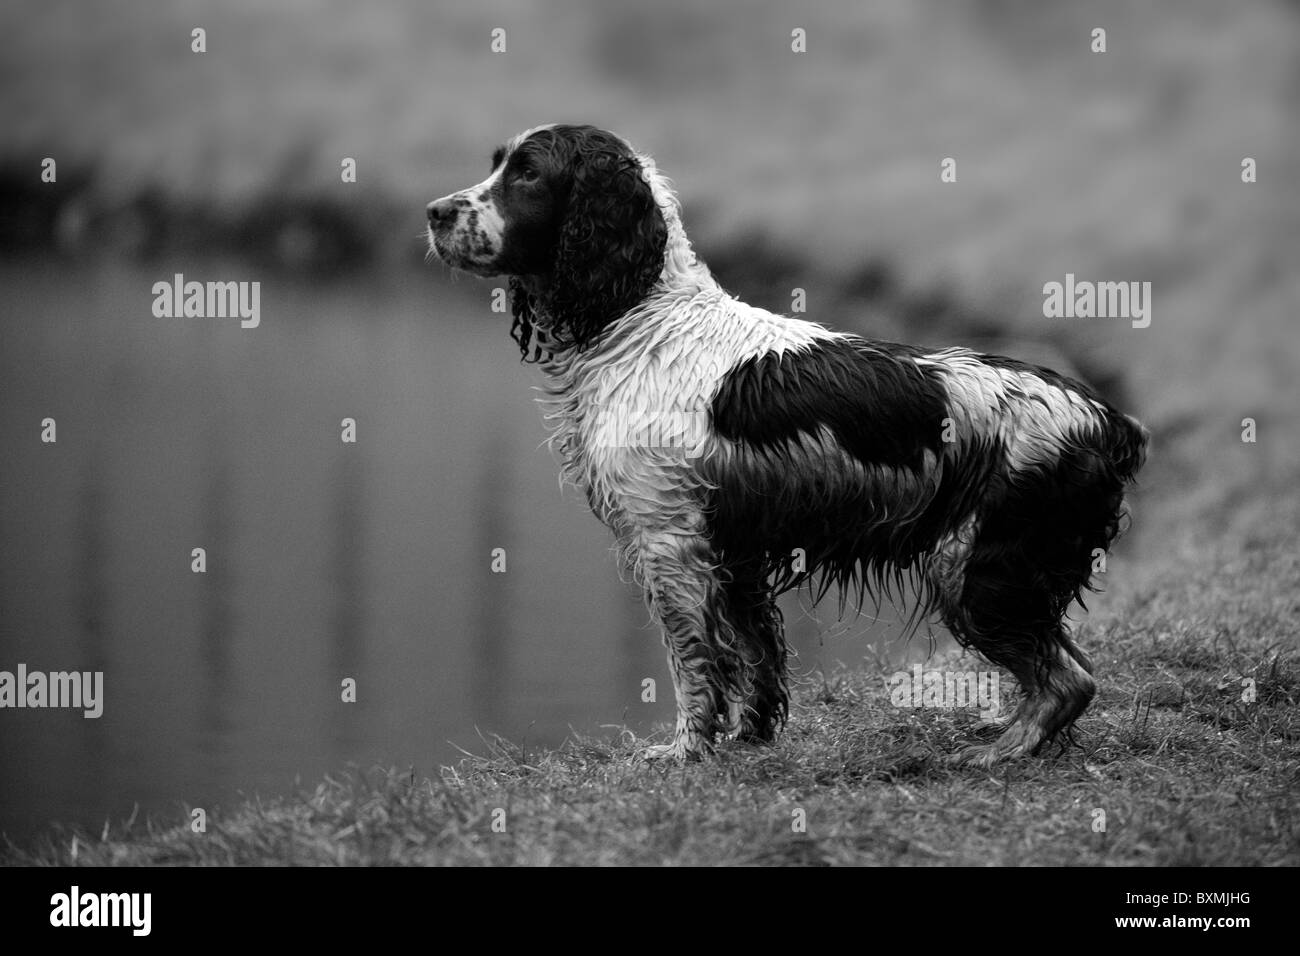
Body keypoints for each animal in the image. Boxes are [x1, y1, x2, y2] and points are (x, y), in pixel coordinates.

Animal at [426, 125, 1149, 770]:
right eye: (496, 164)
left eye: (528, 174)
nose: (433, 212)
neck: (639, 321)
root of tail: (1109, 419)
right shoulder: (734, 549)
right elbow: (755, 654)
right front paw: (750, 735)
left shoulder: (669, 542)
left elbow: (694, 665)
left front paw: (684, 751)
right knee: (1072, 667)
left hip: (976, 569)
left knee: (1070, 678)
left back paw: (1003, 752)